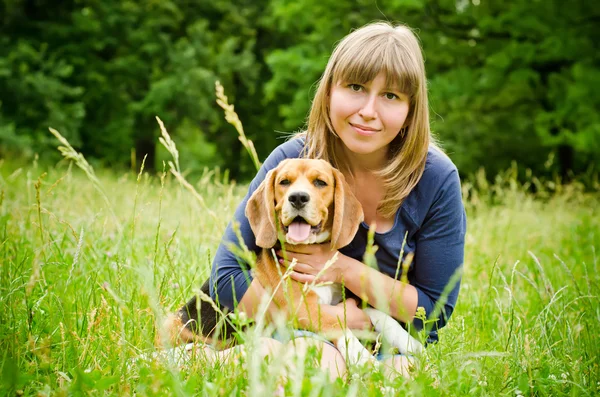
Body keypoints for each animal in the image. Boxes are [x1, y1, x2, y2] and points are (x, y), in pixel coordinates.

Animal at [164, 158, 422, 366]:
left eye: (320, 182)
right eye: (284, 182)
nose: (297, 198)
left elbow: (378, 313)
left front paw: (410, 342)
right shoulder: (302, 309)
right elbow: (337, 324)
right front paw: (362, 358)